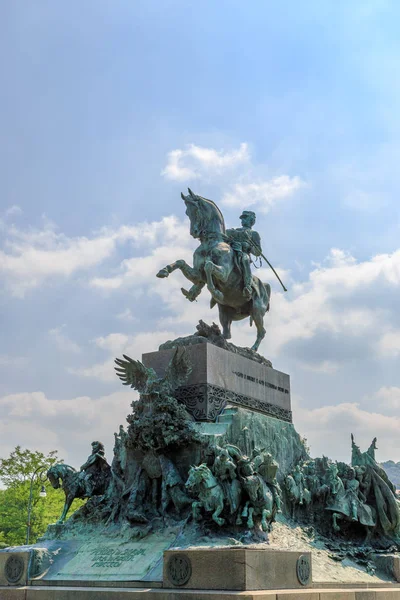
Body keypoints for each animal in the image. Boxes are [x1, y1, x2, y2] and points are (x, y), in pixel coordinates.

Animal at [155, 189, 268, 352]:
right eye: (187, 212)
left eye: (196, 210)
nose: (194, 232)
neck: (211, 242)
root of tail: (265, 286)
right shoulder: (197, 275)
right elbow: (181, 262)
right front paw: (164, 271)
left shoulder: (224, 273)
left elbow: (209, 266)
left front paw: (216, 292)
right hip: (224, 311)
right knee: (227, 334)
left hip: (257, 311)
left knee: (262, 331)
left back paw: (251, 349)